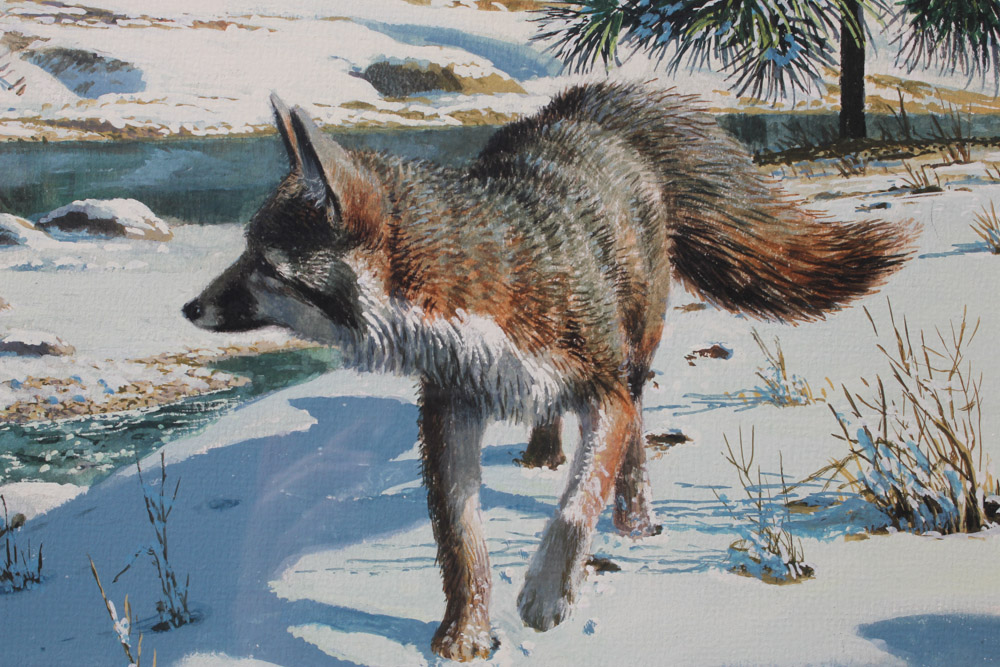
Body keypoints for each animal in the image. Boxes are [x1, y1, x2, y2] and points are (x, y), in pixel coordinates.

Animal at [184, 82, 914, 661]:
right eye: (245, 254)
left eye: (264, 266)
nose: (188, 307)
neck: (476, 299)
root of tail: (586, 112)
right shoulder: (448, 415)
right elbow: (461, 543)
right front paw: (465, 632)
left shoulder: (602, 389)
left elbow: (575, 505)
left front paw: (546, 592)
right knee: (556, 422)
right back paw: (542, 447)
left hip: (634, 354)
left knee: (634, 438)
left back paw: (635, 518)